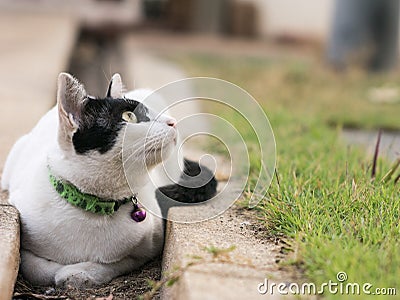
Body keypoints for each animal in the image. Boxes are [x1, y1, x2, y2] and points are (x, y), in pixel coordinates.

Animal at [0, 72, 216, 286]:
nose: (173, 122)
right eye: (129, 116)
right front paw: (59, 272)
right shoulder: (25, 240)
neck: (96, 207)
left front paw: (76, 273)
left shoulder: (148, 247)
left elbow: (114, 263)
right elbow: (35, 268)